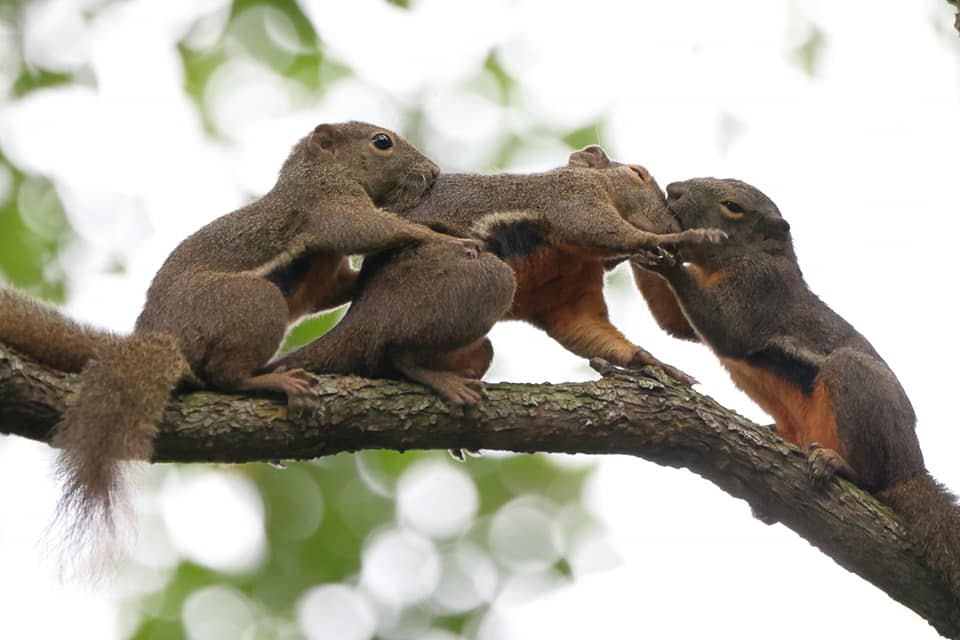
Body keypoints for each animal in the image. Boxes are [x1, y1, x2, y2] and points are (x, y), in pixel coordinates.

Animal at [0, 120, 476, 564]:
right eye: (381, 142)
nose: (433, 171)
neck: (317, 171)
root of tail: (166, 338)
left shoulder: (328, 271)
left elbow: (340, 284)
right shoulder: (326, 203)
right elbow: (366, 228)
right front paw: (445, 237)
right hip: (254, 303)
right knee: (223, 376)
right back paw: (276, 382)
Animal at [386, 146, 724, 384]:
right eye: (637, 173)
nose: (672, 224)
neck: (576, 255)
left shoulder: (568, 299)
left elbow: (592, 332)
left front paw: (654, 362)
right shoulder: (572, 199)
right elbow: (611, 231)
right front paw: (689, 235)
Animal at [632, 175, 960, 596]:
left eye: (732, 206)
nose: (673, 189)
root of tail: (911, 469)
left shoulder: (760, 289)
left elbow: (727, 330)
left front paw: (668, 260)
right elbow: (674, 323)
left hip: (855, 384)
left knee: (874, 480)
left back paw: (841, 465)